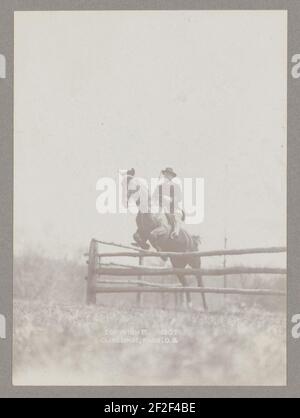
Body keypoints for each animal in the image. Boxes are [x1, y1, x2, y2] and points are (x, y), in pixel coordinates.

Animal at [122, 174, 206, 310]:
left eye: (132, 184)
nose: (125, 201)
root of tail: (193, 240)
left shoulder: (162, 230)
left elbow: (153, 236)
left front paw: (161, 253)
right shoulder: (143, 231)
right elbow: (138, 236)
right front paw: (144, 246)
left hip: (195, 262)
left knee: (200, 282)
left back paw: (205, 307)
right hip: (178, 266)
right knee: (185, 283)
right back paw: (189, 305)